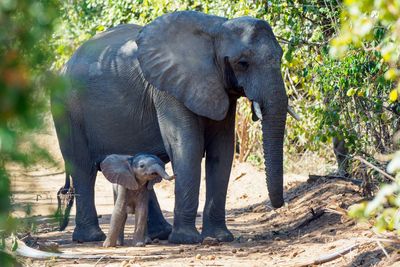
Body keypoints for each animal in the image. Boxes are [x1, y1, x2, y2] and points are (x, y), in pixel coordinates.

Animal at [53, 11, 290, 245]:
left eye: (280, 57)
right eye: (242, 63)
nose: (279, 205)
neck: (216, 28)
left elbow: (222, 150)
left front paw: (219, 238)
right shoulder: (168, 87)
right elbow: (187, 146)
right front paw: (186, 240)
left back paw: (160, 234)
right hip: (66, 110)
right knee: (83, 167)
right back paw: (91, 237)